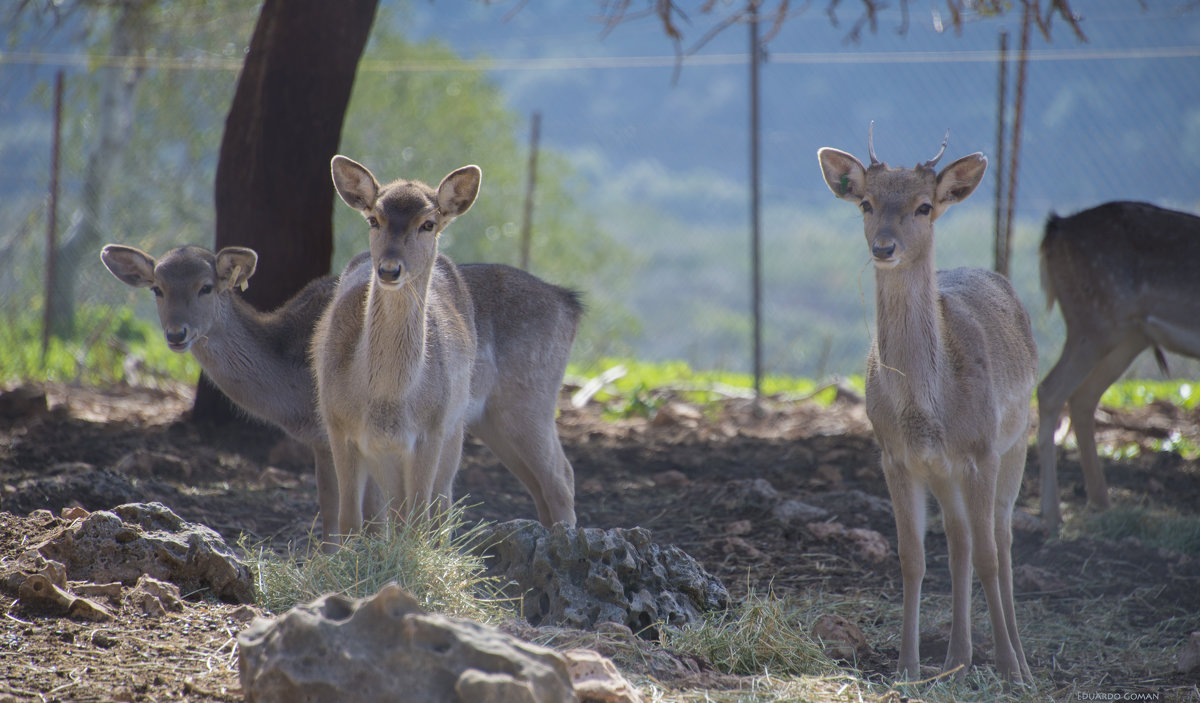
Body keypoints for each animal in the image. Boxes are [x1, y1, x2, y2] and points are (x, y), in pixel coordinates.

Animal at [99, 241, 381, 542]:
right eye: (157, 289)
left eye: (206, 287)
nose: (176, 334)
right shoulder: (322, 441)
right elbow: (331, 510)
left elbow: (366, 514)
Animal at [314, 154, 580, 537]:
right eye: (373, 219)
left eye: (428, 223)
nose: (389, 270)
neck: (384, 400)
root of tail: (571, 305)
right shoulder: (336, 425)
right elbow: (350, 521)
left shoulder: (432, 429)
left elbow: (417, 519)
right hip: (487, 420)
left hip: (523, 401)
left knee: (558, 476)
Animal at [816, 125, 1041, 676]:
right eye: (866, 203)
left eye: (923, 206)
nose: (884, 247)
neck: (928, 409)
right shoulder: (895, 456)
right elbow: (911, 557)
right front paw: (906, 667)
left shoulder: (981, 450)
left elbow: (988, 555)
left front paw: (1008, 669)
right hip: (944, 472)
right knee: (959, 540)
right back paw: (957, 657)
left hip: (1018, 440)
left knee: (1000, 539)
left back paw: (1018, 659)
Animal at [1032, 200, 1200, 527]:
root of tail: (1054, 229)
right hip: (1095, 321)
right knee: (1050, 390)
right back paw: (1054, 513)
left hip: (1130, 335)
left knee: (1082, 395)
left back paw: (1101, 501)